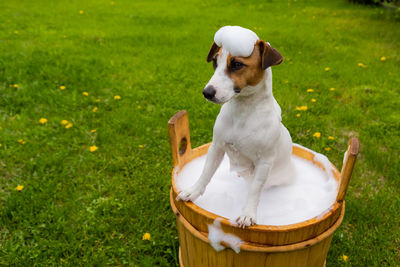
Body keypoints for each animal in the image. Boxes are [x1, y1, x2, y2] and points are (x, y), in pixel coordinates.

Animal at [177, 26, 296, 229]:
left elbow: (255, 189)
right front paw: (193, 191)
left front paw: (248, 214)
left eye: (237, 64)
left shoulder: (264, 162)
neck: (243, 111)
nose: (207, 92)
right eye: (215, 62)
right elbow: (206, 173)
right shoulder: (216, 147)